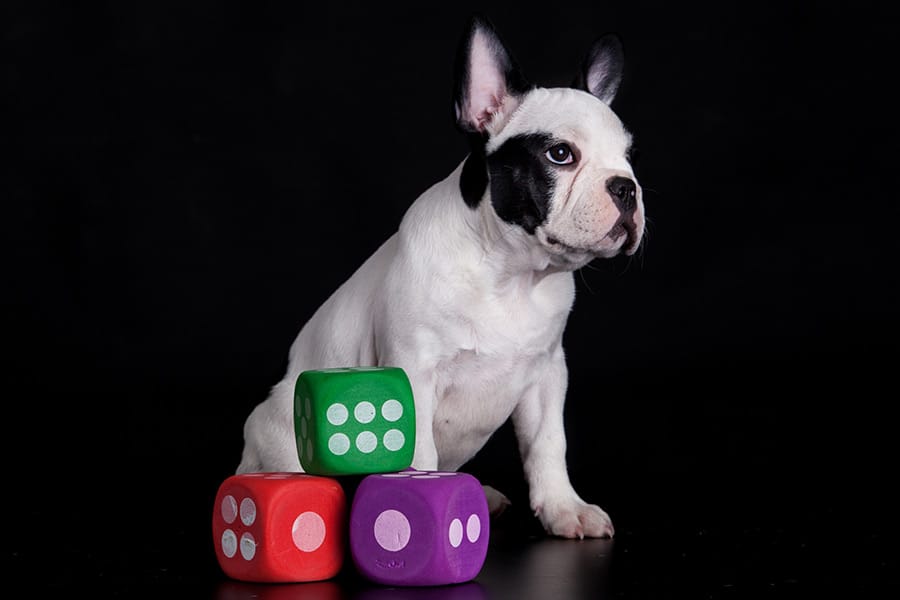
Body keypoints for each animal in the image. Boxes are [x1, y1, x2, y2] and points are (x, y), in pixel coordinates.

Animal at [239, 15, 644, 540]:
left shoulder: (548, 375)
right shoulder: (414, 373)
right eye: (560, 154)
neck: (512, 275)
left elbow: (548, 444)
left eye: (630, 157)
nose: (626, 186)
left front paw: (563, 507)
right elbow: (420, 454)